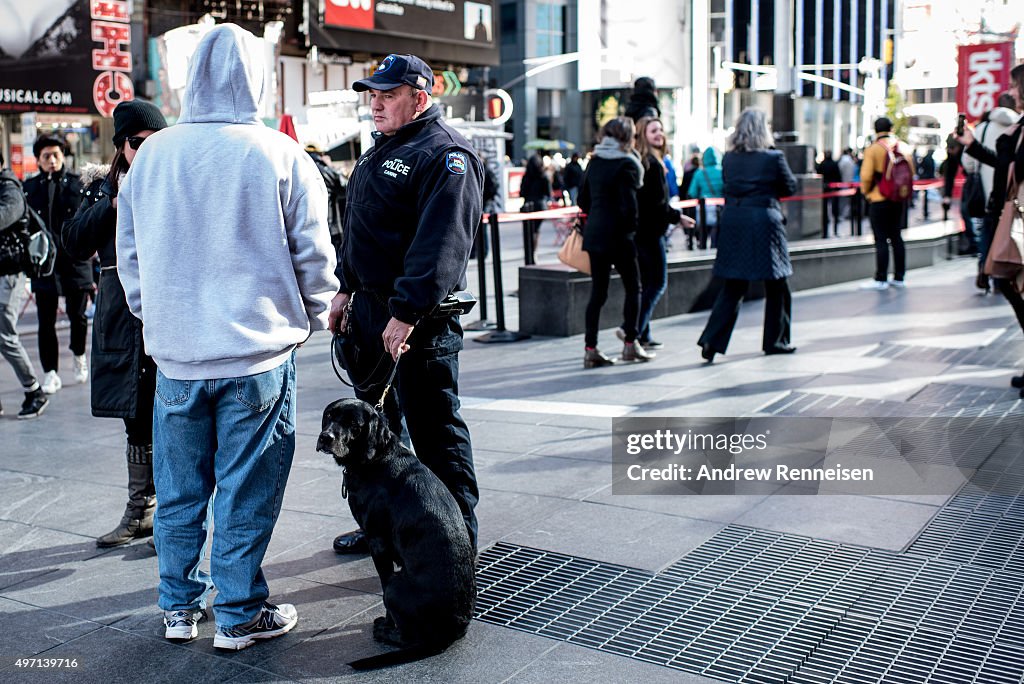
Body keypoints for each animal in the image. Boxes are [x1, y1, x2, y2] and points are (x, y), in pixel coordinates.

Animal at [315, 395, 475, 667]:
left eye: (353, 424)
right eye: (329, 416)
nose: (326, 437)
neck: (377, 457)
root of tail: (449, 635)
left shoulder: (377, 542)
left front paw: (387, 623)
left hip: (395, 586)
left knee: (409, 636)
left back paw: (385, 632)